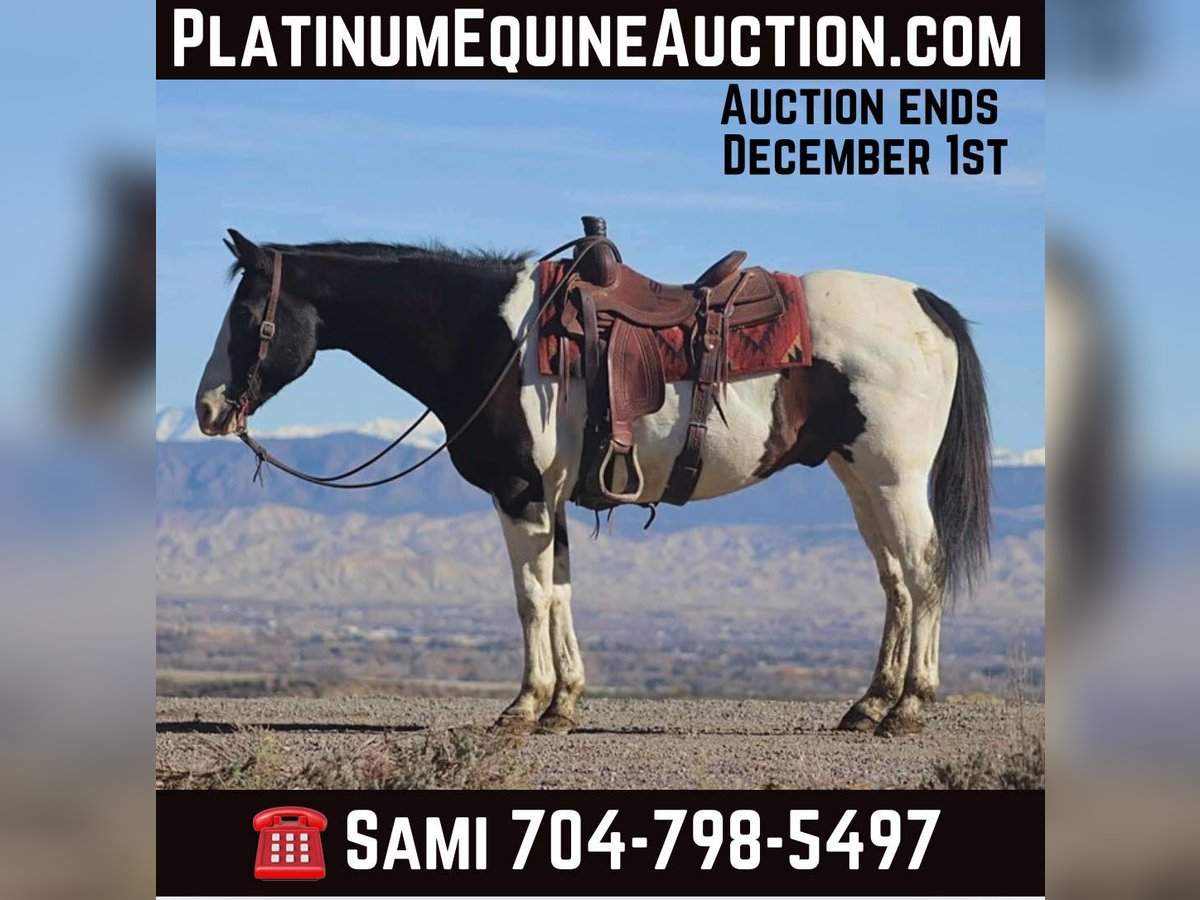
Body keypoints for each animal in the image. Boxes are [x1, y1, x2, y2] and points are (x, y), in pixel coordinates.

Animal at [195, 227, 990, 737]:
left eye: (246, 314)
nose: (205, 409)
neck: (493, 340)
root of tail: (927, 304)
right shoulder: (551, 498)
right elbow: (561, 591)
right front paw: (564, 704)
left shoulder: (518, 491)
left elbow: (530, 597)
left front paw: (525, 706)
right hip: (860, 477)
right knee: (894, 580)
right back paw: (869, 705)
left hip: (894, 476)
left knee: (923, 571)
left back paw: (910, 707)